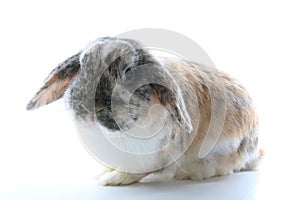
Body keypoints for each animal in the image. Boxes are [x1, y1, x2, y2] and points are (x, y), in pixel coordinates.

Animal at [27, 36, 264, 185]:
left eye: (129, 71)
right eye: (82, 65)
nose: (91, 109)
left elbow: (137, 172)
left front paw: (111, 179)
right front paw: (103, 173)